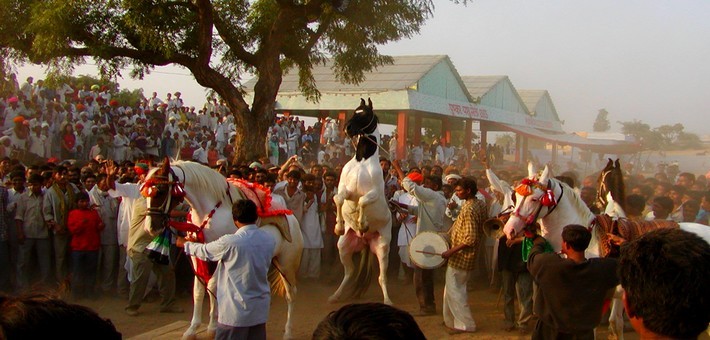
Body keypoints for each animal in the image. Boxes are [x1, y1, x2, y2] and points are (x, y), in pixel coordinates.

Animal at [145, 160, 304, 340]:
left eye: (160, 190)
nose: (151, 227)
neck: (208, 211)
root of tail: (293, 219)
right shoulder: (197, 253)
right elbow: (199, 289)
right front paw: (193, 328)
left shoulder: (220, 253)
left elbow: (213, 286)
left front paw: (213, 326)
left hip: (287, 264)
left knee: (291, 294)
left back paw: (288, 331)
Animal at [330, 98, 394, 306]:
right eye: (355, 110)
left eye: (365, 114)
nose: (348, 128)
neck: (362, 162)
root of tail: (365, 243)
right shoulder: (346, 189)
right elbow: (338, 198)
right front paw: (339, 226)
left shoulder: (374, 193)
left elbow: (363, 202)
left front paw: (362, 223)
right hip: (343, 247)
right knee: (349, 273)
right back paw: (335, 296)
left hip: (382, 248)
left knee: (382, 277)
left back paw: (388, 300)